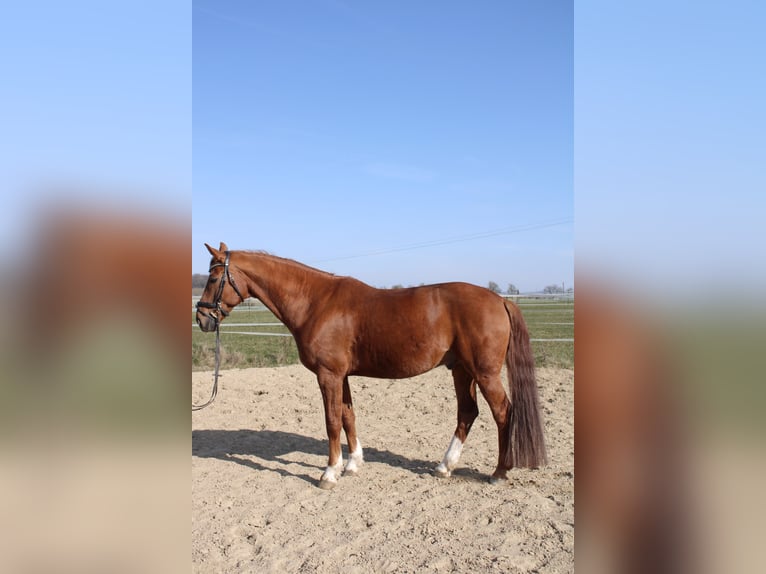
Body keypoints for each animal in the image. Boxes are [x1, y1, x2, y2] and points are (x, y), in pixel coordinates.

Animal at [195, 242, 546, 489]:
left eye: (213, 277)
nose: (202, 318)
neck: (315, 302)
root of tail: (499, 299)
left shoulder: (329, 375)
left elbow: (332, 421)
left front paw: (330, 472)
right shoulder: (342, 376)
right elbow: (348, 416)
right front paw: (353, 463)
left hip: (484, 374)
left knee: (503, 413)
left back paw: (499, 472)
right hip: (462, 371)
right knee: (467, 413)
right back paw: (445, 466)